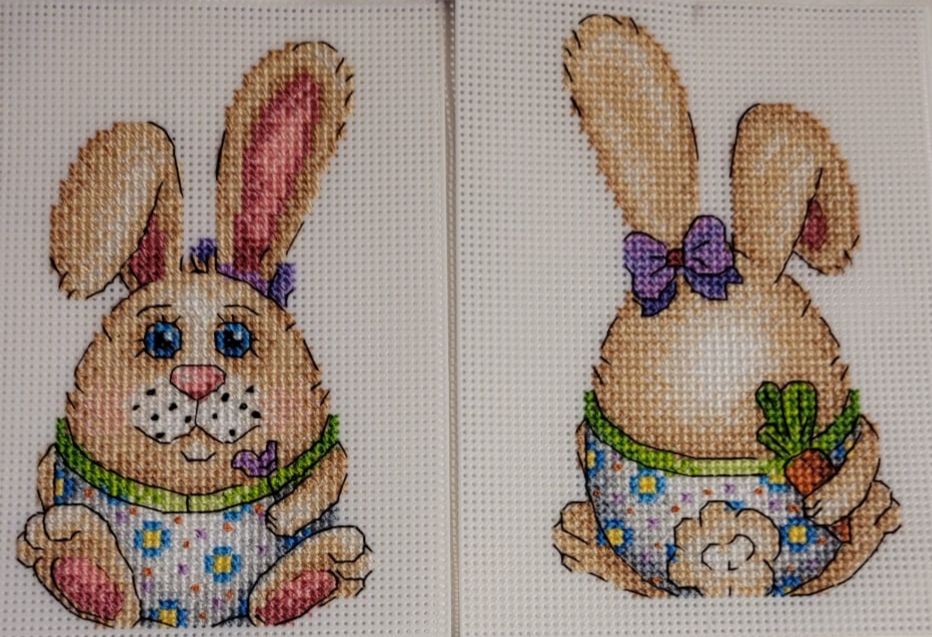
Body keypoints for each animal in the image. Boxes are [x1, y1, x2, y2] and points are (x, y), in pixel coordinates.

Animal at [16, 42, 371, 627]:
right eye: (161, 339)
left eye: (235, 339)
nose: (198, 380)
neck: (193, 497)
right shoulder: (59, 464)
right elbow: (50, 474)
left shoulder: (324, 455)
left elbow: (328, 470)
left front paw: (285, 515)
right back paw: (77, 563)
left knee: (268, 598)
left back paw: (316, 573)